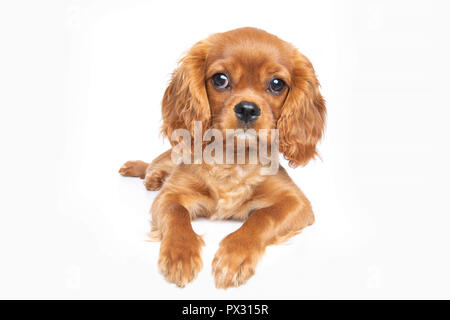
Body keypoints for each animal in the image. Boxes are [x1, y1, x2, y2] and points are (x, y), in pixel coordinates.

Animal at [118, 26, 326, 288]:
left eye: (277, 84)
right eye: (220, 79)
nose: (247, 108)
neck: (234, 157)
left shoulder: (297, 202)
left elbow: (263, 217)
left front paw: (235, 256)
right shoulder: (169, 196)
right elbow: (177, 215)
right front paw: (180, 255)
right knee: (155, 164)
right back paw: (146, 173)